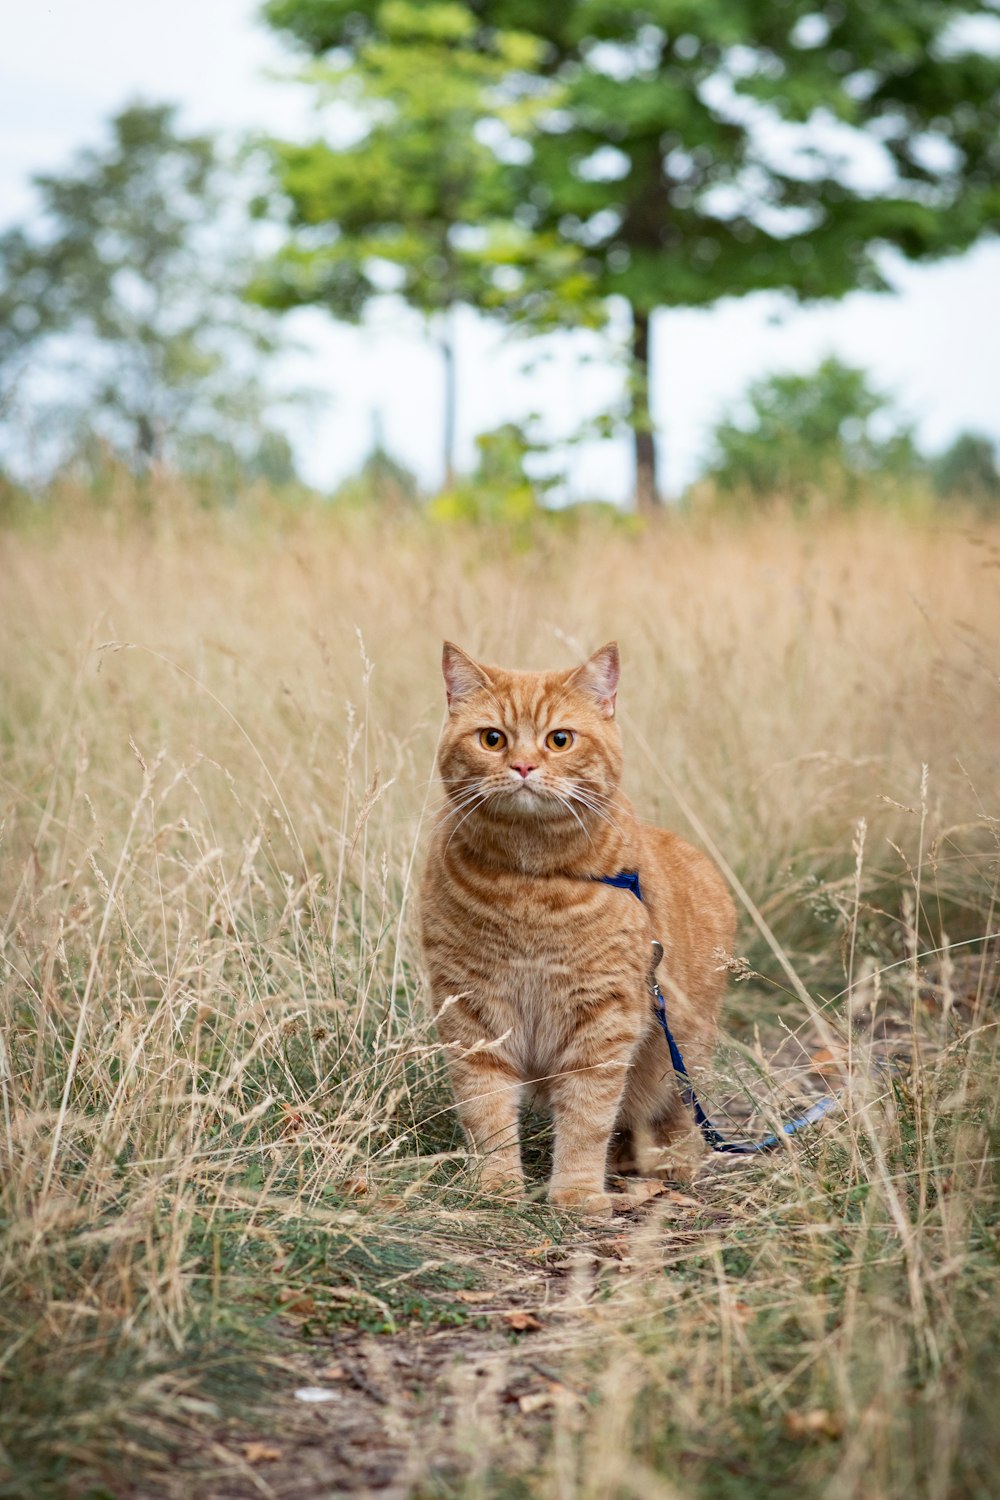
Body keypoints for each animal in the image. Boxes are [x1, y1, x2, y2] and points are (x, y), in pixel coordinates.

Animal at [416, 639, 734, 1212]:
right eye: (492, 738)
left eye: (559, 740)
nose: (523, 765)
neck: (529, 883)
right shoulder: (472, 1012)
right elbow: (486, 1109)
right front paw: (497, 1184)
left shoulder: (603, 1020)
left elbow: (587, 1115)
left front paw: (577, 1192)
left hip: (682, 1054)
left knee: (677, 1116)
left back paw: (668, 1165)